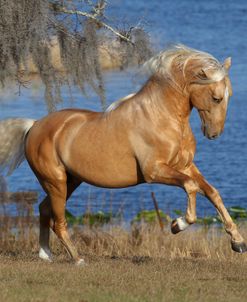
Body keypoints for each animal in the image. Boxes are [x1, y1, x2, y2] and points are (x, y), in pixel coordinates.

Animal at [0, 43, 246, 264]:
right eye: (216, 97)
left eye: (230, 95)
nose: (214, 133)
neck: (161, 116)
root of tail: (33, 126)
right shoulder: (155, 171)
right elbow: (191, 186)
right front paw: (178, 225)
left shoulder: (186, 166)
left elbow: (212, 193)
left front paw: (238, 242)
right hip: (56, 182)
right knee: (58, 222)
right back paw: (77, 258)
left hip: (71, 181)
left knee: (44, 209)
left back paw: (46, 255)